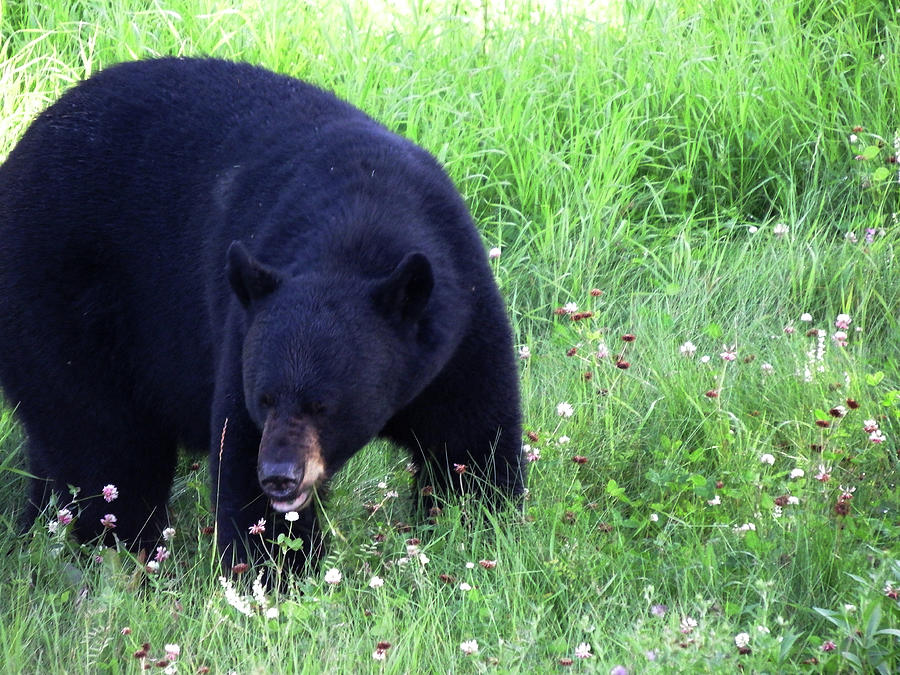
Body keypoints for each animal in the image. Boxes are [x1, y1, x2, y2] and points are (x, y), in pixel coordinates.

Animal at [0, 56, 524, 572]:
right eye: (266, 398)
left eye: (324, 405)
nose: (279, 476)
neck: (361, 226)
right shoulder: (240, 333)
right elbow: (237, 459)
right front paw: (277, 569)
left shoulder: (459, 322)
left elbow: (469, 436)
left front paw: (479, 523)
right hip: (60, 303)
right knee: (106, 449)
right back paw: (119, 551)